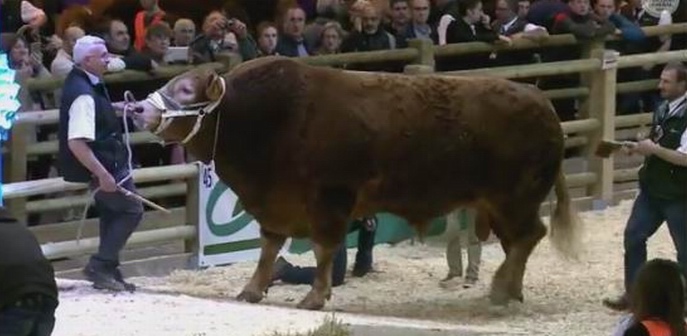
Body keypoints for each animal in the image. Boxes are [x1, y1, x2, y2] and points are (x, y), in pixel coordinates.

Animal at [129, 56, 580, 312]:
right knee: (519, 241)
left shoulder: (330, 198)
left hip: (515, 198)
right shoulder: (276, 204)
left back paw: (502, 289)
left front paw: (315, 296)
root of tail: (542, 104)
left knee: (528, 236)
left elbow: (324, 249)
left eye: (186, 88)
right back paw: (510, 289)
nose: (135, 108)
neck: (266, 114)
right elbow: (268, 248)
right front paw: (252, 290)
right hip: (501, 204)